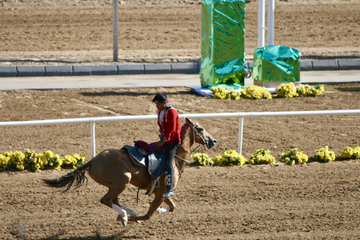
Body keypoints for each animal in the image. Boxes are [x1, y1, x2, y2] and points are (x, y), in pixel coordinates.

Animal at [42, 117, 217, 226]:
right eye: (201, 128)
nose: (213, 140)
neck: (173, 157)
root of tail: (93, 160)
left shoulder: (161, 193)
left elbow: (173, 206)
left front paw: (160, 210)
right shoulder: (160, 193)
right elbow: (148, 215)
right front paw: (129, 218)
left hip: (114, 185)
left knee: (113, 200)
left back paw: (127, 212)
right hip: (123, 181)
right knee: (106, 200)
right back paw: (125, 216)